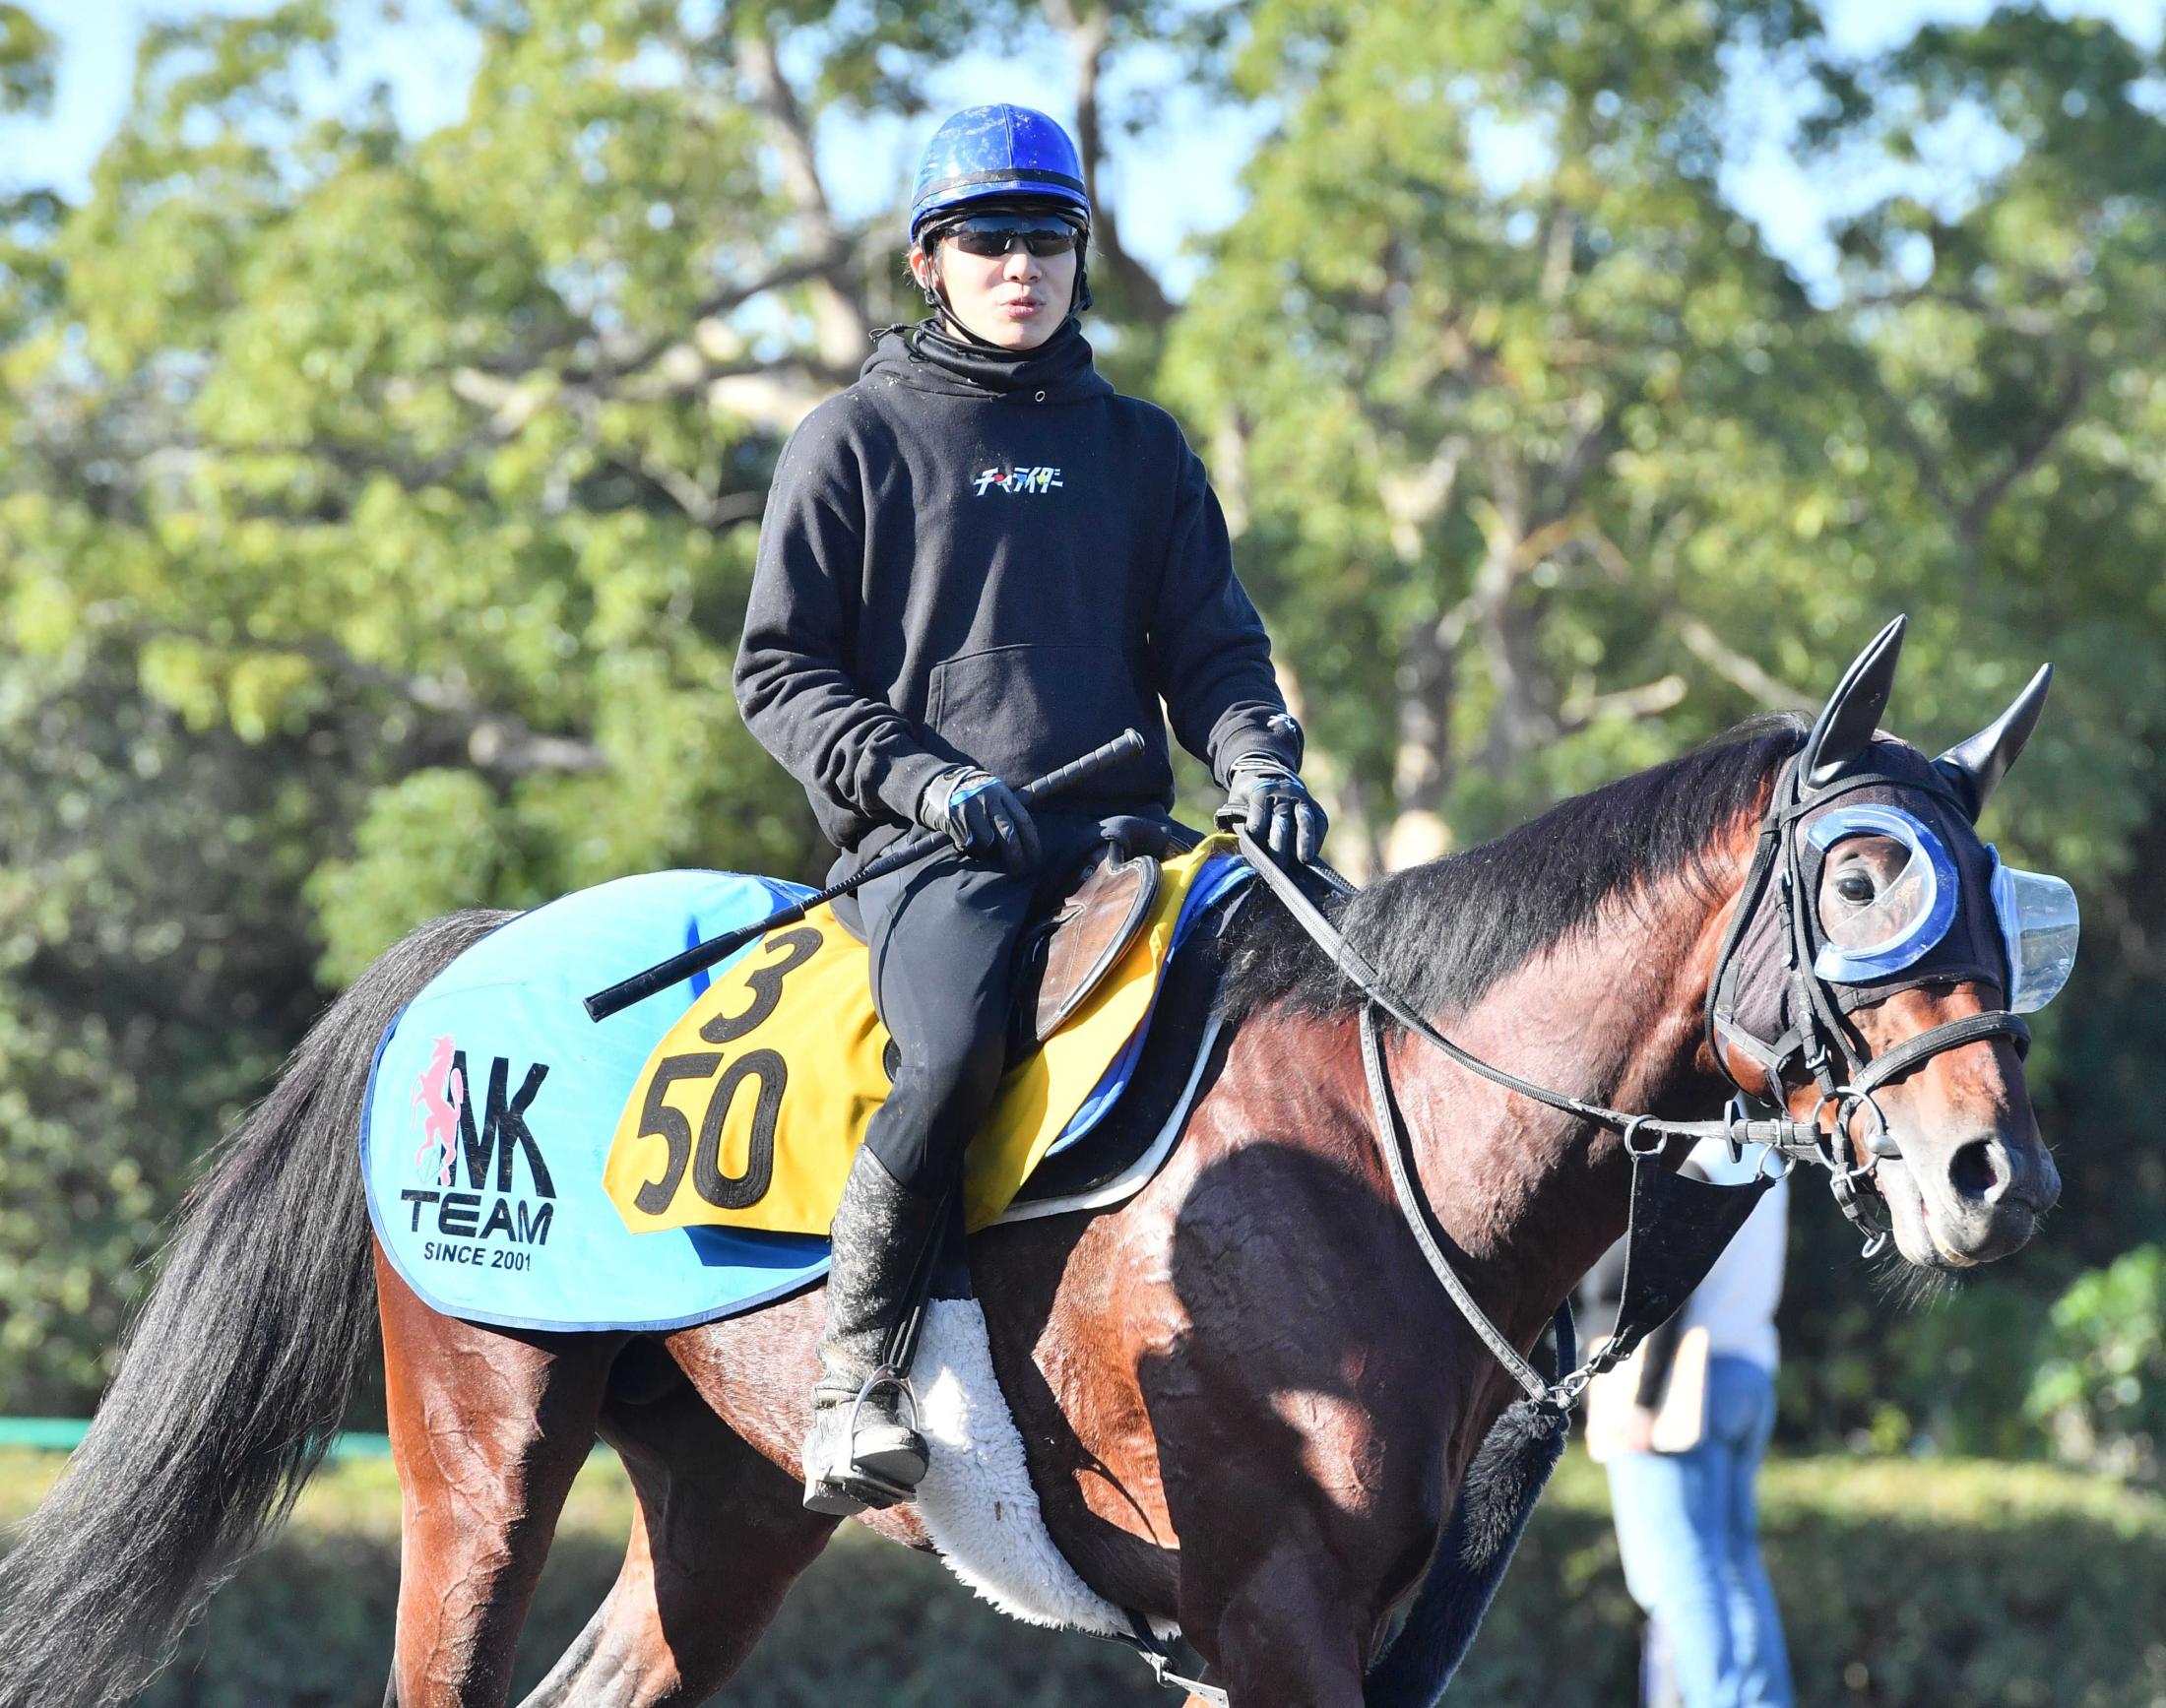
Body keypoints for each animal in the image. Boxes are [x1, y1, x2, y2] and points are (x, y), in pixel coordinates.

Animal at [0, 627, 2062, 1705]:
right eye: (1864, 882)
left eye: (2008, 909)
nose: (1998, 1180)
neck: (1376, 1153)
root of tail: (485, 954)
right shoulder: (1272, 1614)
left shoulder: (1357, 1628)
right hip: (481, 1461)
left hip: (729, 1510)